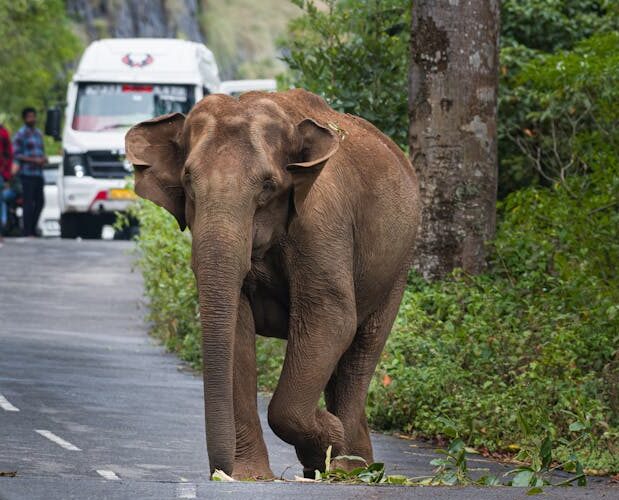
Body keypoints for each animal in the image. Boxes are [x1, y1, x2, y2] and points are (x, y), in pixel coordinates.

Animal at [126, 89, 422, 480]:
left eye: (268, 186)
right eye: (188, 181)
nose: (218, 472)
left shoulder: (322, 223)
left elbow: (331, 317)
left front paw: (328, 437)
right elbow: (237, 329)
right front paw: (249, 476)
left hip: (398, 267)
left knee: (360, 351)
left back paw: (346, 467)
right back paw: (353, 464)